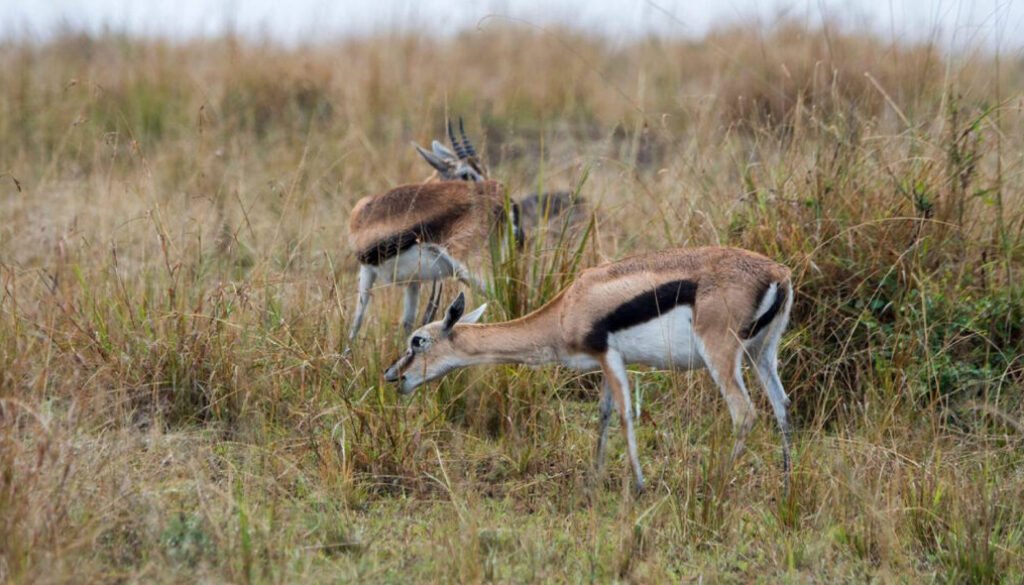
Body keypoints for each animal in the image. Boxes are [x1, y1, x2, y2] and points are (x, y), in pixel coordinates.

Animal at [347, 120, 522, 340]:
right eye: (467, 174)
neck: (364, 215)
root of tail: (501, 199)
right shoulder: (414, 282)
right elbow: (408, 322)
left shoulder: (367, 269)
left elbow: (357, 320)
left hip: (475, 267)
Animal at [384, 246, 794, 493]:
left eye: (418, 341)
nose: (393, 376)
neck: (567, 309)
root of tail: (778, 273)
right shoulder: (605, 362)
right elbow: (605, 414)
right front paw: (594, 480)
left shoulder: (608, 355)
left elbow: (626, 415)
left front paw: (639, 484)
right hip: (762, 354)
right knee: (781, 406)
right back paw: (787, 481)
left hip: (721, 355)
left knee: (745, 413)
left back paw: (717, 482)